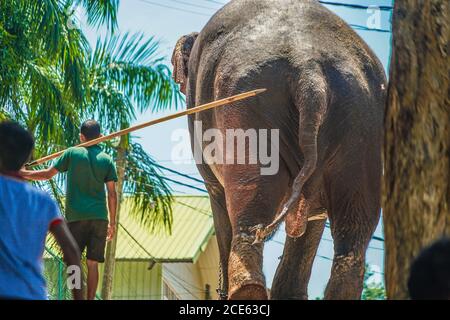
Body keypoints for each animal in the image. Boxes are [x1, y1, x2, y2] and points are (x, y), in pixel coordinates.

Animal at [172, 0, 386, 300]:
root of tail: (310, 74)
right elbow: (312, 220)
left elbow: (216, 195)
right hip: (362, 120)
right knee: (354, 235)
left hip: (249, 109)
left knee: (249, 203)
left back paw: (247, 291)